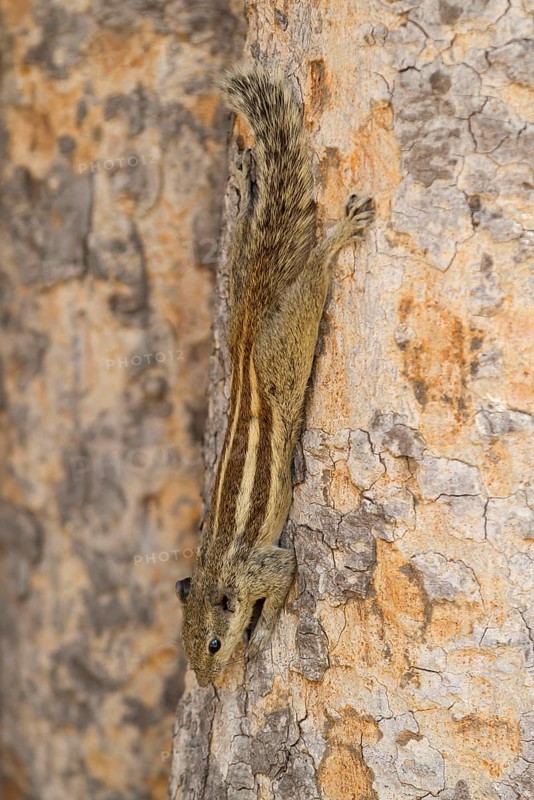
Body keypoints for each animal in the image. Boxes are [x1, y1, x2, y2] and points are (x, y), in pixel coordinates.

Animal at [176, 65, 374, 687]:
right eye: (185, 649)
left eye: (214, 645)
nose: (208, 686)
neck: (215, 569)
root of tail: (242, 339)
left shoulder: (267, 564)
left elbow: (284, 578)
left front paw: (261, 633)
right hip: (241, 274)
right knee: (248, 238)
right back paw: (244, 189)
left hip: (286, 353)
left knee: (312, 278)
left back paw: (337, 237)